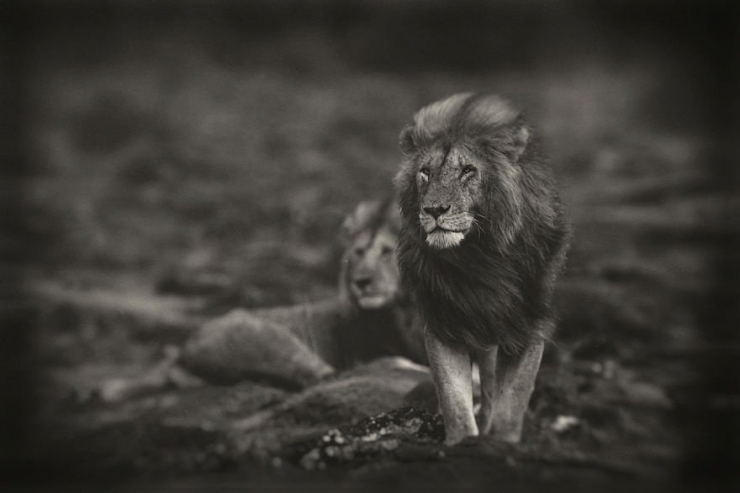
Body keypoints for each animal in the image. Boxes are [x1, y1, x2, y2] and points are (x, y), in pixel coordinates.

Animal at [97, 199, 426, 402]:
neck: (407, 307)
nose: (361, 282)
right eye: (358, 252)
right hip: (269, 338)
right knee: (325, 376)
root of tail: (184, 348)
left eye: (386, 252)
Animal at [394, 93, 571, 445]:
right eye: (425, 172)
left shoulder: (529, 326)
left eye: (468, 170)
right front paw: (463, 443)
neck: (478, 256)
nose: (434, 210)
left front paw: (500, 444)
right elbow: (455, 402)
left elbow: (511, 403)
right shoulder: (442, 324)